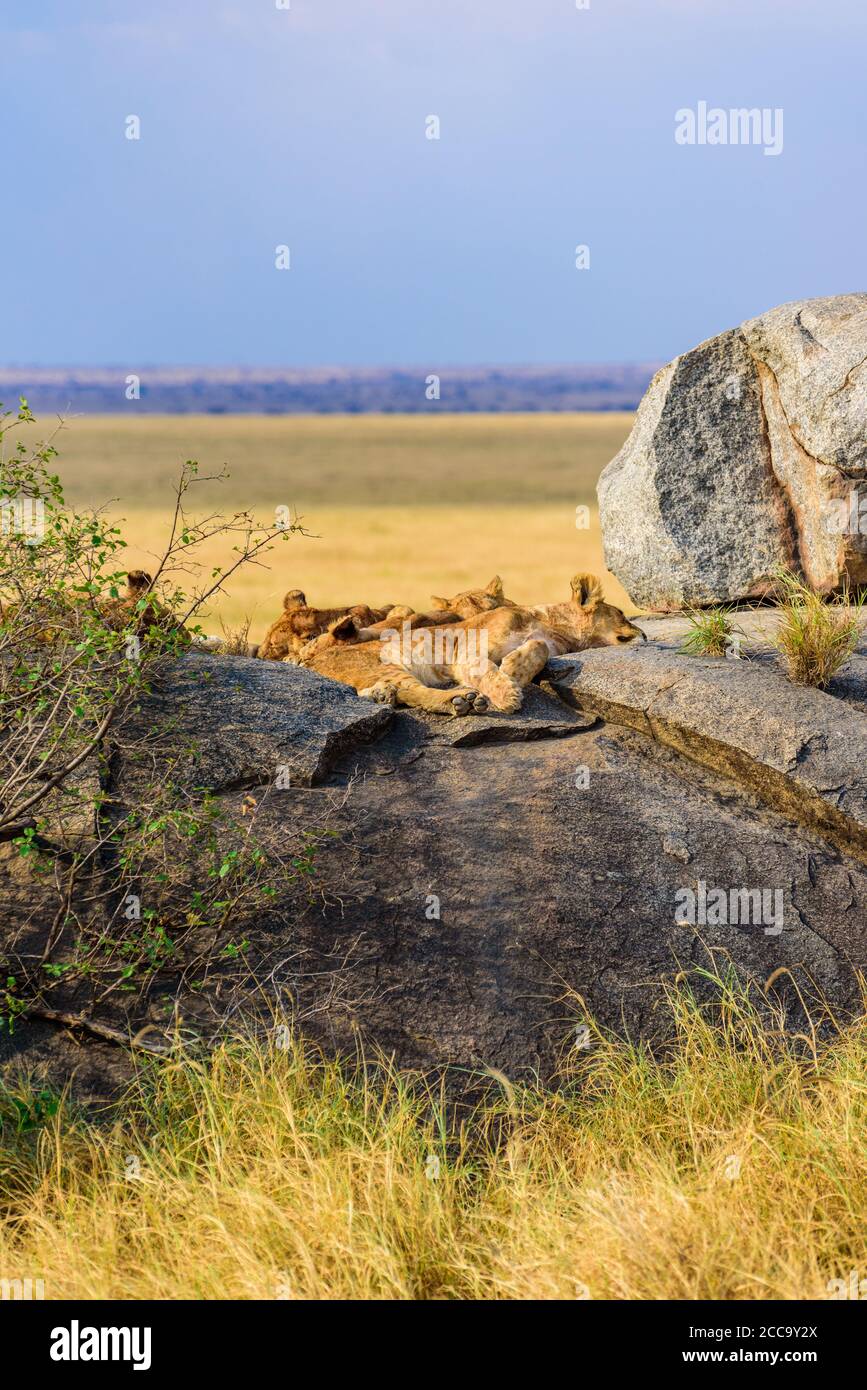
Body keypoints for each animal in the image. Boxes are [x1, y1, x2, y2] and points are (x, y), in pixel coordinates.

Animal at [296, 573, 644, 716]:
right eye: (621, 613)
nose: (643, 633)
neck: (554, 627)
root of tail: (308, 661)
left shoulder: (548, 645)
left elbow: (538, 649)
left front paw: (514, 670)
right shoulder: (467, 651)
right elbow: (485, 669)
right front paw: (508, 694)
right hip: (383, 663)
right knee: (412, 691)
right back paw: (460, 700)